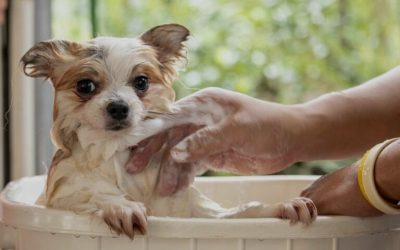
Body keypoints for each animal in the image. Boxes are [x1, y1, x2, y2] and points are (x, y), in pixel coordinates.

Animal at [21, 24, 316, 239]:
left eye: (141, 82)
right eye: (85, 86)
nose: (118, 107)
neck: (116, 151)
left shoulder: (188, 209)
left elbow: (236, 213)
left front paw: (282, 207)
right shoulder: (60, 197)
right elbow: (90, 194)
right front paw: (121, 206)